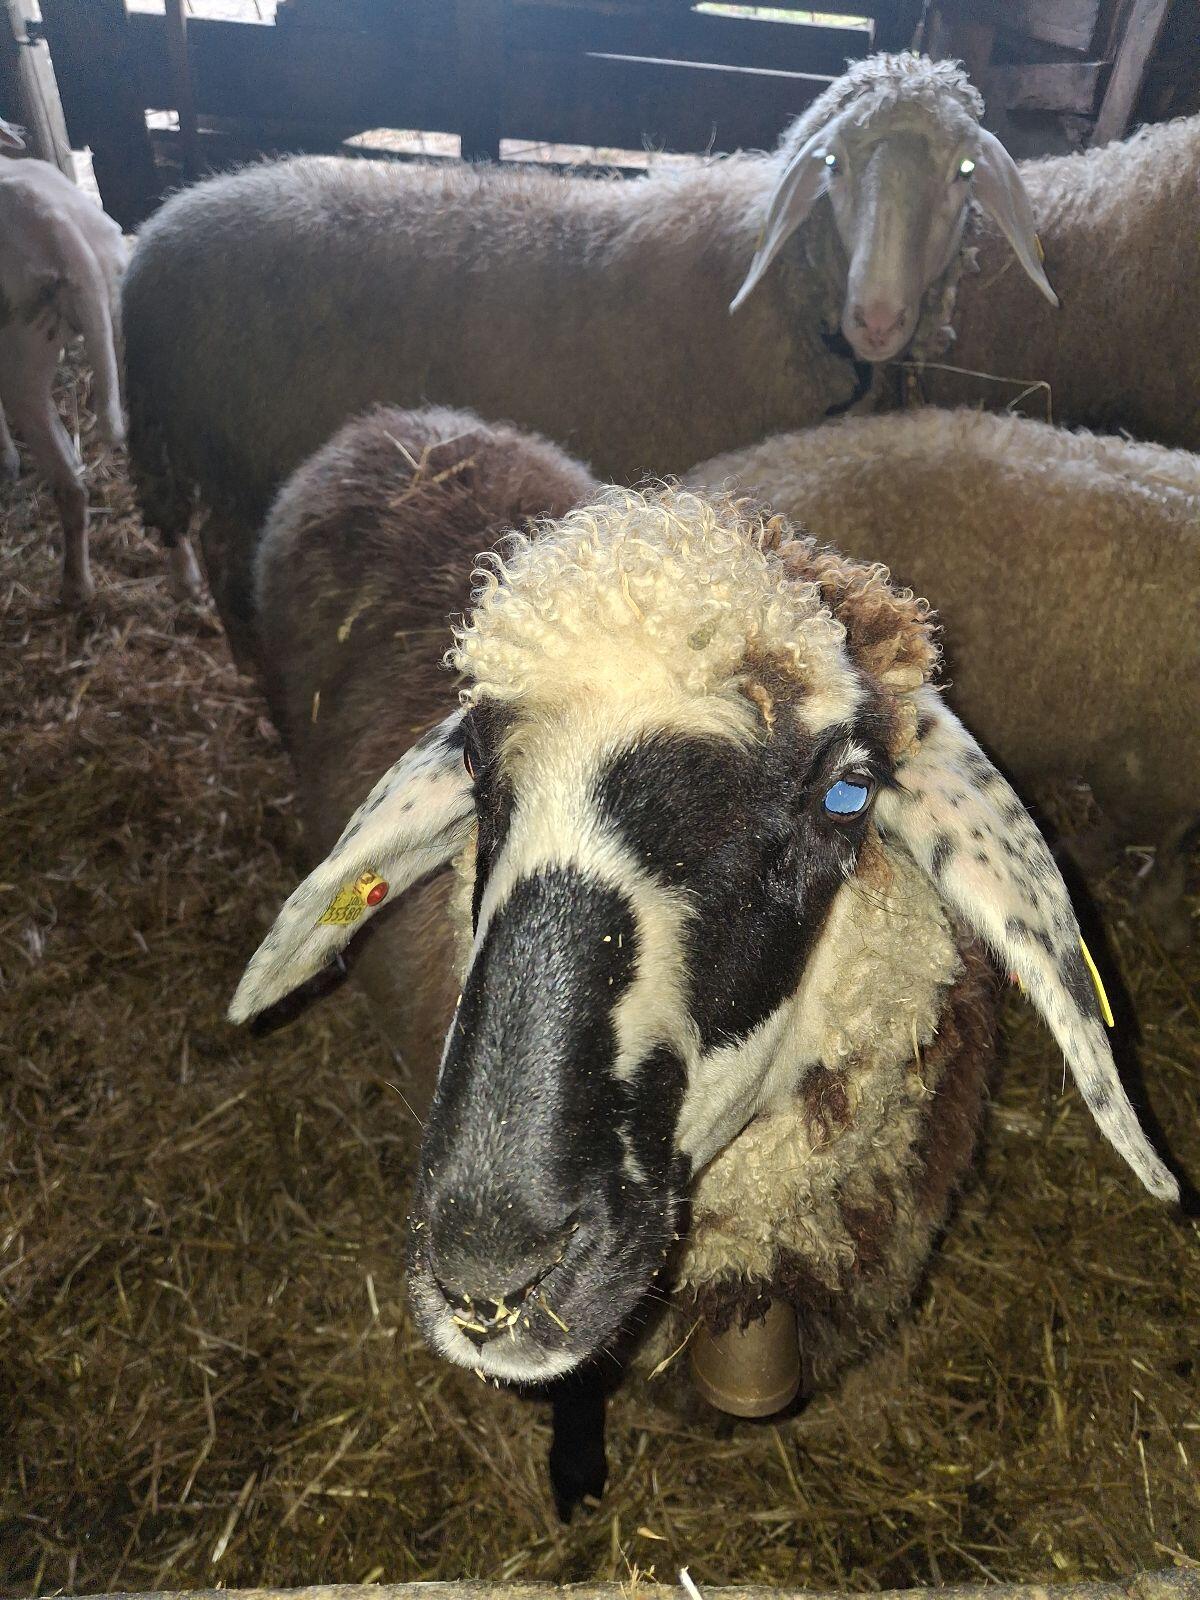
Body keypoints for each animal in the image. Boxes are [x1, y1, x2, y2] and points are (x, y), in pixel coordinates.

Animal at [120, 52, 1055, 623]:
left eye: (962, 173)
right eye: (834, 166)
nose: (878, 316)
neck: (773, 278)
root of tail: (158, 234)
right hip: (231, 472)